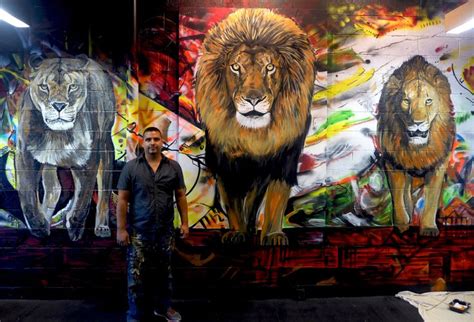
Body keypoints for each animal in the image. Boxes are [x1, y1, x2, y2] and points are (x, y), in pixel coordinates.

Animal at [15, 57, 115, 240]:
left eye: (73, 87)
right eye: (44, 87)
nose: (59, 106)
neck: (57, 135)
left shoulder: (89, 160)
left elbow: (83, 198)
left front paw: (74, 226)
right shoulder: (25, 155)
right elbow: (28, 197)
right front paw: (39, 226)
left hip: (106, 146)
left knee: (104, 189)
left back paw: (101, 227)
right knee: (54, 188)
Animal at [194, 8, 316, 245]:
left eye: (269, 67)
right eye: (235, 67)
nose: (253, 99)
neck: (253, 135)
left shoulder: (284, 159)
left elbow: (276, 201)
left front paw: (273, 235)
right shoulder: (225, 162)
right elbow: (232, 202)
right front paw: (237, 232)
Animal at [378, 55, 456, 236]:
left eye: (428, 101)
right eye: (406, 101)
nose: (418, 123)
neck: (418, 150)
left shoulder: (439, 164)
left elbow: (432, 198)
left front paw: (428, 227)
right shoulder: (393, 162)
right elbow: (398, 195)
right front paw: (401, 224)